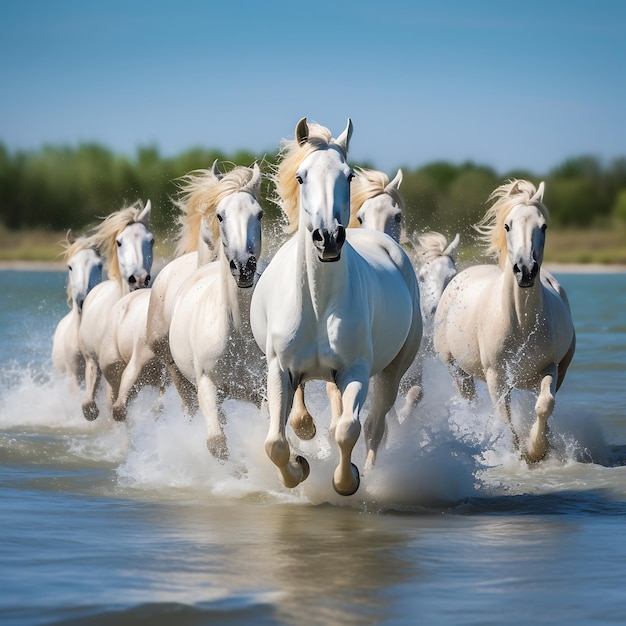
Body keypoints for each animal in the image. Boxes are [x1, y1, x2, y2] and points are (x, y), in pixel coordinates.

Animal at [167, 162, 264, 454]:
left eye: (260, 214)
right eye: (220, 216)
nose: (244, 266)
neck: (240, 335)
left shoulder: (264, 390)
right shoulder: (208, 386)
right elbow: (216, 442)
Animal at [249, 119, 420, 494]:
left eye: (349, 175)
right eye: (301, 177)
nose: (328, 238)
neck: (318, 302)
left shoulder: (355, 371)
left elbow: (348, 430)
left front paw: (347, 481)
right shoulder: (279, 369)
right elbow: (275, 443)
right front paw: (298, 469)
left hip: (391, 372)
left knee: (374, 426)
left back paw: (370, 473)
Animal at [432, 178, 572, 460]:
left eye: (544, 226)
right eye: (507, 225)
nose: (525, 270)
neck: (521, 321)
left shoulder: (549, 369)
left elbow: (544, 405)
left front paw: (538, 450)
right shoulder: (496, 377)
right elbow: (505, 419)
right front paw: (519, 455)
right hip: (456, 369)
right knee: (470, 400)